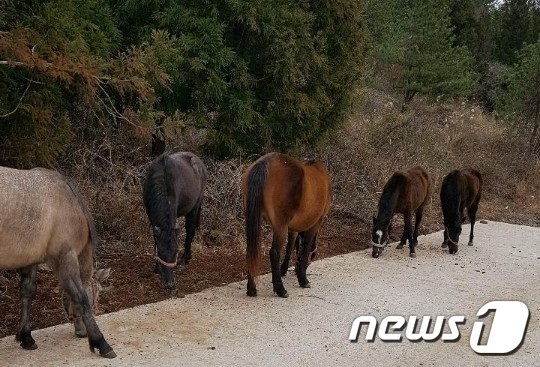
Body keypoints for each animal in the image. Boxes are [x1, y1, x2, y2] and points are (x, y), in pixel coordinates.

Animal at [0, 167, 115, 360]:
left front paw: (26, 337)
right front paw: (101, 342)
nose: (82, 333)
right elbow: (80, 297)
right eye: (97, 294)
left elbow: (27, 292)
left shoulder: (31, 259)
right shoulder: (66, 258)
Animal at [142, 152, 208, 290]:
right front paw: (156, 268)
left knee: (190, 231)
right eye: (161, 253)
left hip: (195, 207)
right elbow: (155, 240)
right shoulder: (150, 217)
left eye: (176, 252)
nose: (170, 284)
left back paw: (184, 260)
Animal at [242, 152, 334, 300]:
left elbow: (290, 246)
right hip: (280, 225)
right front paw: (303, 278)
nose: (298, 269)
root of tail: (264, 163)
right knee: (274, 252)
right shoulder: (315, 223)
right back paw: (280, 289)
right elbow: (305, 247)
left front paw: (284, 269)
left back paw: (251, 288)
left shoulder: (293, 227)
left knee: (250, 249)